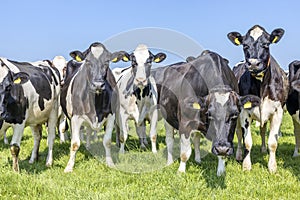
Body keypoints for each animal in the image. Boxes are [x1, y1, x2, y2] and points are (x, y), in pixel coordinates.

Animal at [61, 41, 124, 172]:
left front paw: (110, 163)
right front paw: (69, 167)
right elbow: (75, 143)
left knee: (89, 131)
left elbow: (107, 141)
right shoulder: (76, 117)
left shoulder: (111, 116)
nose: (98, 84)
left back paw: (89, 146)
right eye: (88, 61)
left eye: (107, 62)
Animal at [229, 24, 290, 172]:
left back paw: (262, 149)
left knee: (262, 131)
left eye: (266, 44)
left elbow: (272, 142)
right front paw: (246, 165)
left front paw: (272, 167)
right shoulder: (244, 112)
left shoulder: (278, 111)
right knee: (238, 134)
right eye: (245, 45)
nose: (253, 63)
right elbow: (247, 141)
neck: (261, 87)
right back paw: (239, 154)